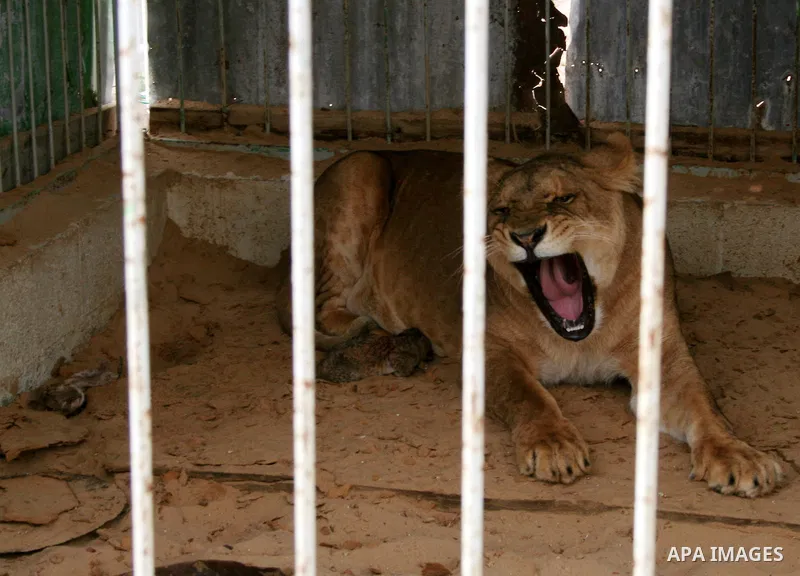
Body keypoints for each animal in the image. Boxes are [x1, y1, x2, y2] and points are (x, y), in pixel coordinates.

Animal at [276, 133, 783, 498]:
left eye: (563, 199)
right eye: (501, 210)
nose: (524, 236)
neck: (582, 334)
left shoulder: (665, 358)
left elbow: (705, 407)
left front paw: (741, 458)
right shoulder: (489, 352)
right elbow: (528, 397)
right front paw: (554, 446)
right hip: (359, 170)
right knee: (322, 309)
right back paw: (388, 337)